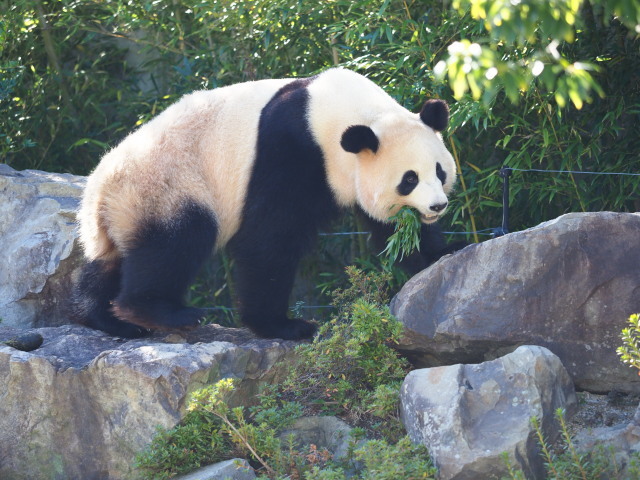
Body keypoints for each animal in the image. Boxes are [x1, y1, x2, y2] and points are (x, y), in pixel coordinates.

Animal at [71, 68, 460, 342]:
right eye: (409, 179)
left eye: (439, 171)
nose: (437, 206)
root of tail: (100, 191)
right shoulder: (290, 151)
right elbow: (269, 238)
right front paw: (285, 326)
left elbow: (394, 229)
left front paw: (443, 253)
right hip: (168, 187)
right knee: (175, 243)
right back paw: (160, 313)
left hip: (126, 212)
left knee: (111, 262)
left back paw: (107, 319)